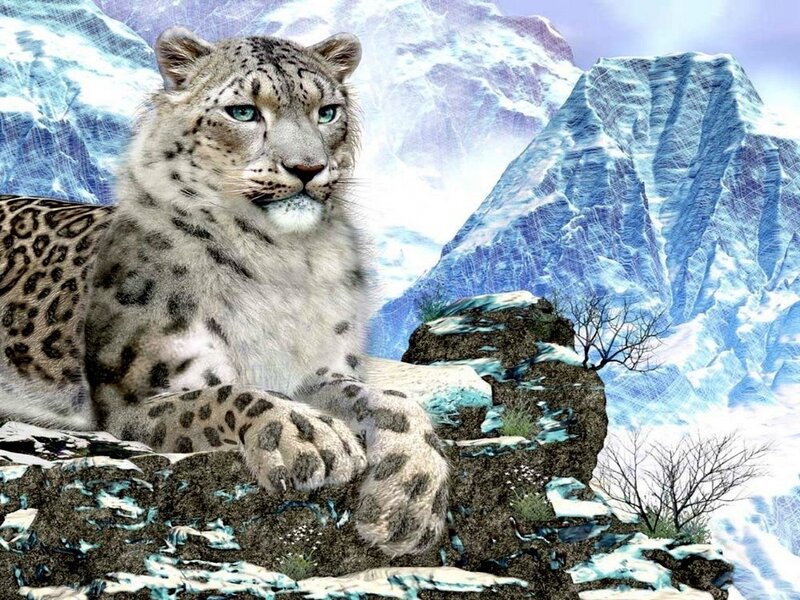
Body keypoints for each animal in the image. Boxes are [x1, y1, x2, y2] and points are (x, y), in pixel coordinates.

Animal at [0, 26, 449, 557]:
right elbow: (234, 392)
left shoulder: (321, 369)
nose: (308, 167)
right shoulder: (137, 396)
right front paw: (311, 437)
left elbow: (391, 401)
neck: (282, 264)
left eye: (326, 112)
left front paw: (408, 502)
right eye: (243, 112)